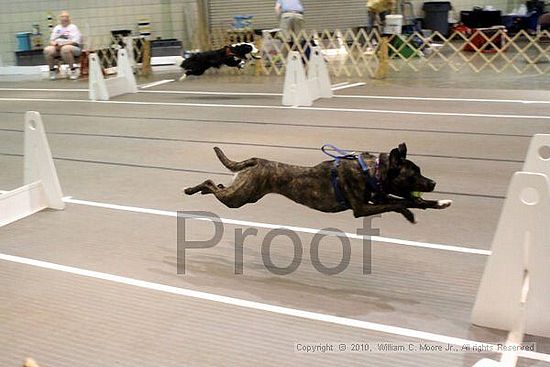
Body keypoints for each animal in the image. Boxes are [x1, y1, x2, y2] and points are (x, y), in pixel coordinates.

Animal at [185, 145, 452, 223]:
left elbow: (412, 201)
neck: (373, 170)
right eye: (413, 174)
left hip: (244, 194)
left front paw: (439, 202)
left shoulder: (378, 197)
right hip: (238, 199)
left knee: (218, 186)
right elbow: (399, 203)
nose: (433, 182)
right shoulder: (362, 208)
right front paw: (408, 212)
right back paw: (190, 189)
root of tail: (256, 160)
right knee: (210, 183)